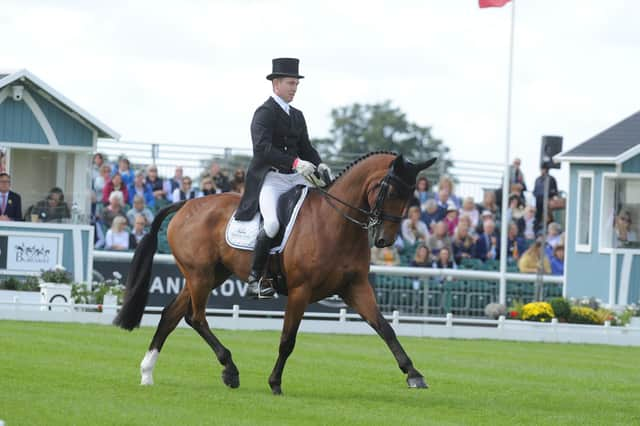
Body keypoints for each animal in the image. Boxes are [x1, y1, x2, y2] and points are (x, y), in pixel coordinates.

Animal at [114, 151, 436, 394]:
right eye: (390, 190)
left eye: (411, 194)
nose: (385, 241)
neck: (334, 223)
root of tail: (187, 203)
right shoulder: (300, 291)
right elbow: (287, 339)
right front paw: (275, 382)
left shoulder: (355, 287)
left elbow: (385, 328)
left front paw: (414, 374)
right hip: (200, 275)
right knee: (195, 317)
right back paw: (230, 370)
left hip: (209, 275)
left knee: (171, 315)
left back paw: (147, 372)